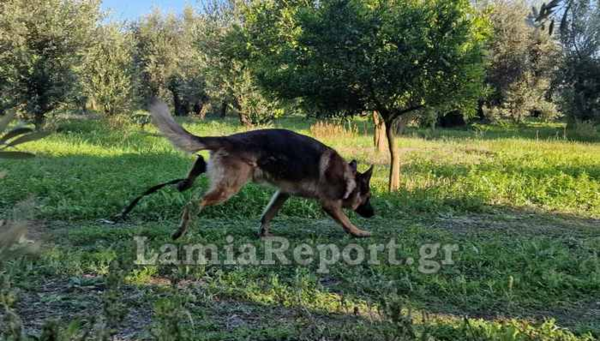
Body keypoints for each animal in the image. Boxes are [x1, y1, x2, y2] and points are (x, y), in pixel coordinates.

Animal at [149, 101, 376, 239]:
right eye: (368, 197)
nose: (374, 214)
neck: (349, 178)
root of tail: (227, 139)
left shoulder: (283, 193)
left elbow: (268, 214)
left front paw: (265, 235)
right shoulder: (329, 204)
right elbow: (346, 221)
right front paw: (359, 232)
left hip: (226, 178)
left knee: (201, 165)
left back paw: (185, 182)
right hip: (229, 187)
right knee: (193, 203)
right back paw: (181, 229)